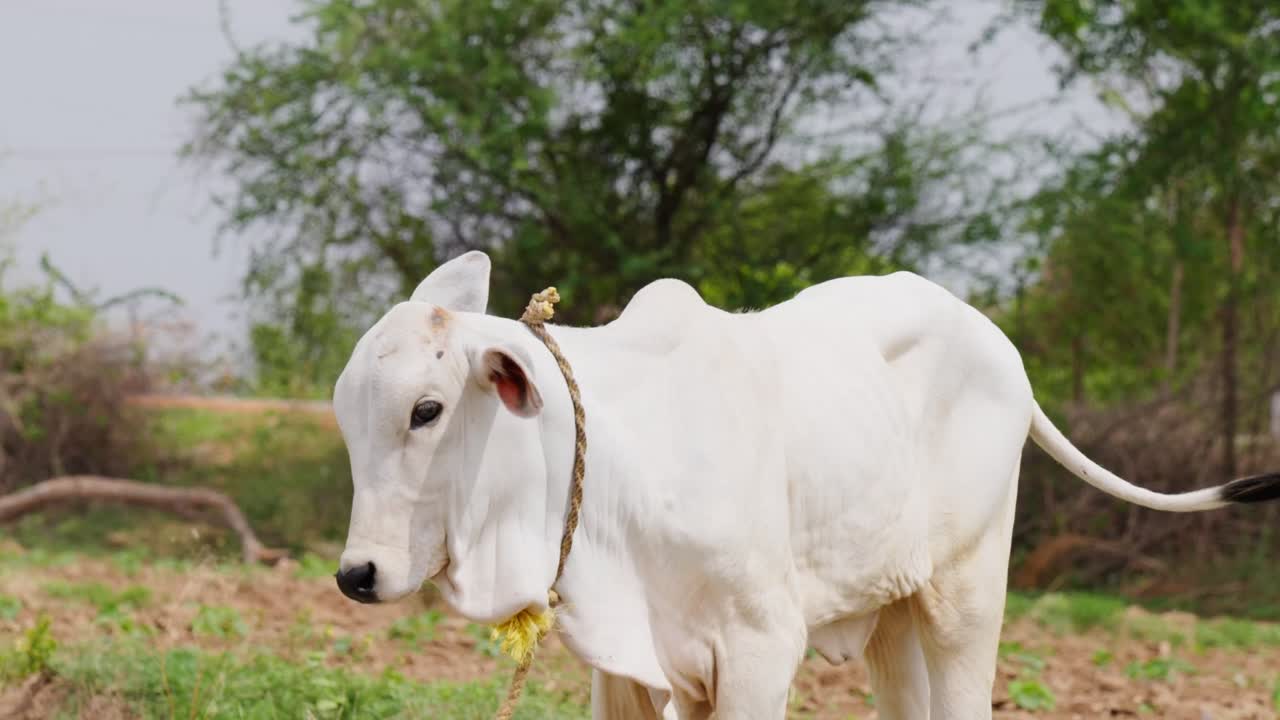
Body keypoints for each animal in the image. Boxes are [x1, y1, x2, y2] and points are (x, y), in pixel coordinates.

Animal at [331, 250, 1280, 720]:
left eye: (426, 409)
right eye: (346, 417)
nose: (357, 575)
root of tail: (992, 339)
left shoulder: (758, 651)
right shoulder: (632, 670)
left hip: (967, 594)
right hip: (893, 612)